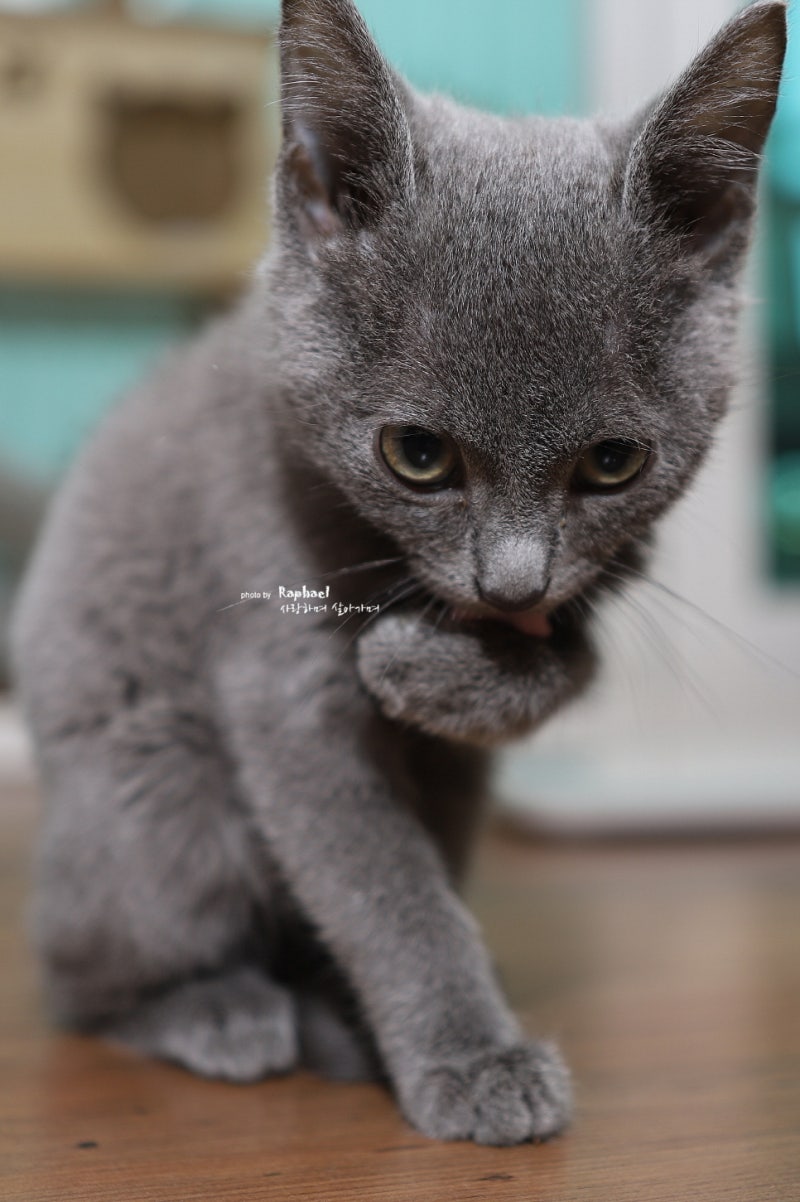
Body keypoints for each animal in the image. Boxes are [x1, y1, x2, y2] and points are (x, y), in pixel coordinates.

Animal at [10, 0, 783, 1144]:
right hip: (157, 805)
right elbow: (381, 884)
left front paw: (421, 669)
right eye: (416, 454)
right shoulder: (276, 655)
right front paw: (472, 1057)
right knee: (80, 971)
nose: (510, 583)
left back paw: (335, 1021)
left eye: (613, 463)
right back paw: (219, 1010)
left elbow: (569, 667)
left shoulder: (597, 582)